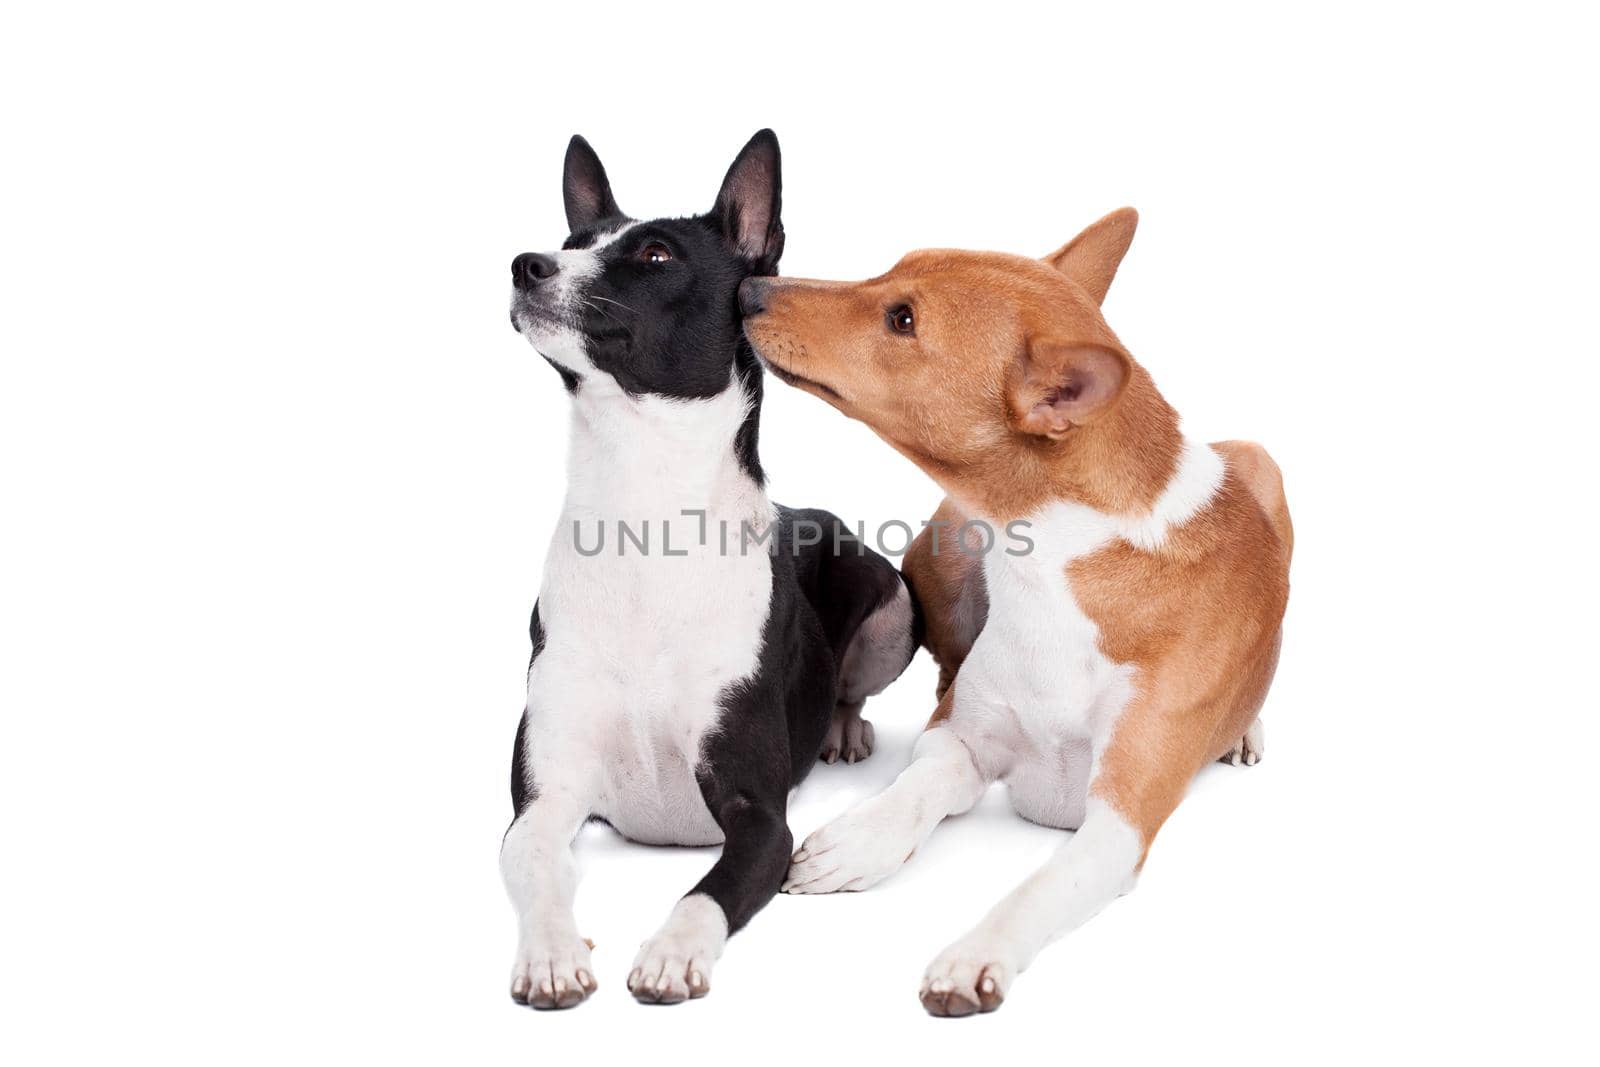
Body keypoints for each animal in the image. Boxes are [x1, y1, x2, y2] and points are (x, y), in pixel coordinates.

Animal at [505, 133, 921, 1011]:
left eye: (655, 255)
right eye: (571, 243)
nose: (526, 264)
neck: (643, 510)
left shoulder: (759, 814)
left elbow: (709, 890)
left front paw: (671, 951)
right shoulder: (544, 797)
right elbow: (533, 864)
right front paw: (552, 952)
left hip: (894, 609)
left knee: (854, 678)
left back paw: (842, 725)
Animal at [736, 207, 1286, 1017]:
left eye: (903, 319)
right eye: (891, 272)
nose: (749, 290)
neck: (1053, 570)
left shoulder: (1121, 818)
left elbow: (1039, 888)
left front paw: (974, 956)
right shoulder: (959, 740)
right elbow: (917, 788)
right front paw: (856, 842)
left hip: (1262, 463)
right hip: (948, 537)